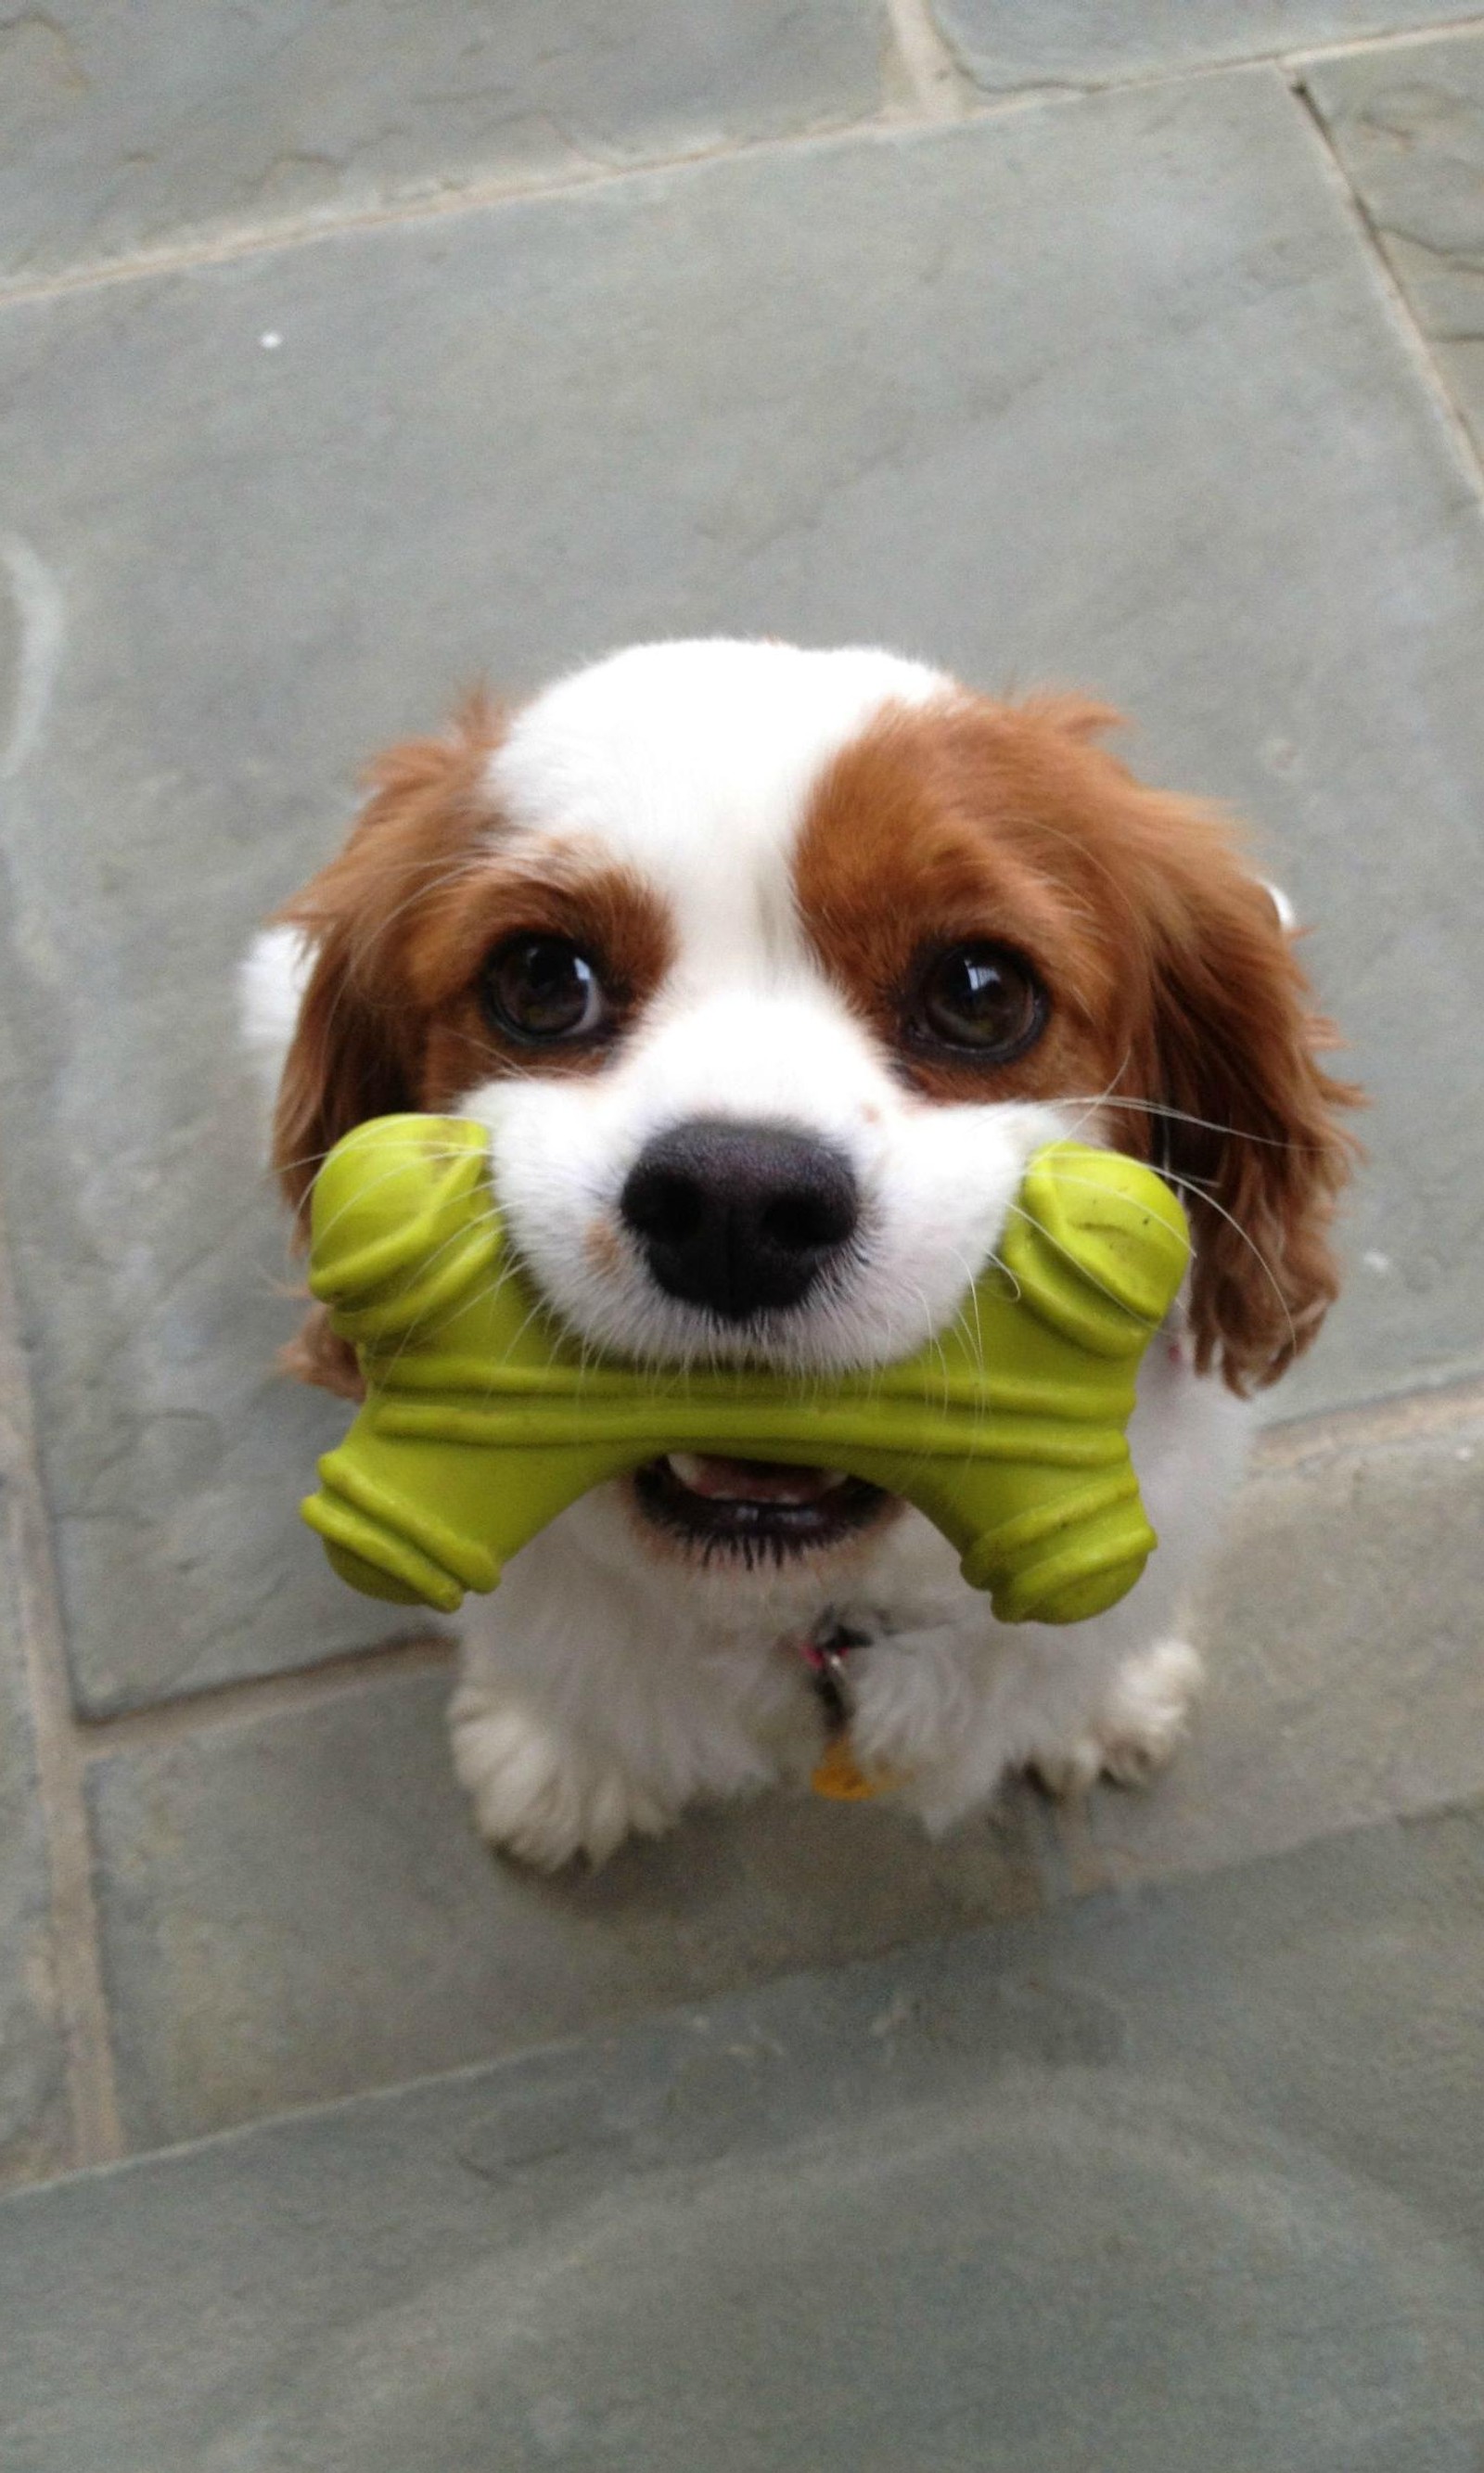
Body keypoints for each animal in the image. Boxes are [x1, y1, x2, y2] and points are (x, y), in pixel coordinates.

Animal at [241, 647, 1355, 1859]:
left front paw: (1098, 1704)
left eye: (981, 992)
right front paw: (564, 1758)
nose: (735, 1199)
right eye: (539, 979)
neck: (812, 1615)